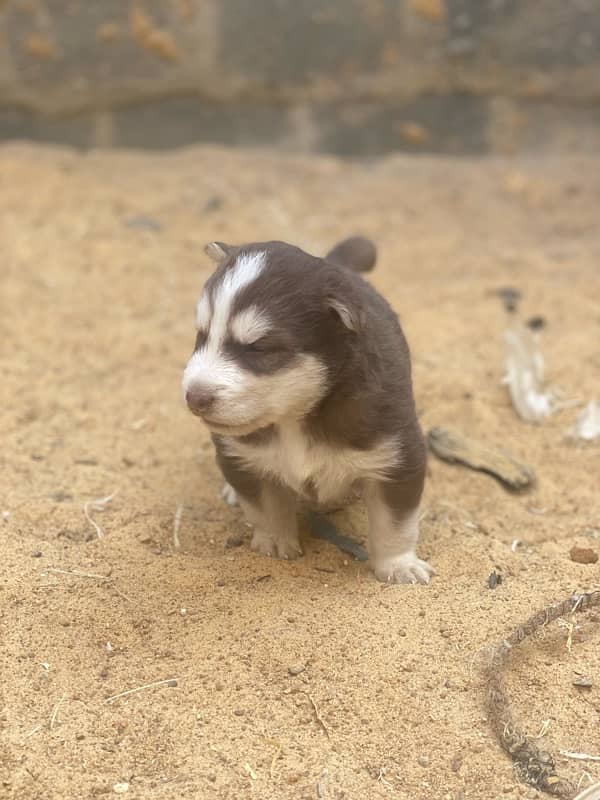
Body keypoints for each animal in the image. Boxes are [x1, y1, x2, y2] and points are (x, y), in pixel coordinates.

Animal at [180, 234, 434, 584]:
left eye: (258, 348)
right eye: (201, 335)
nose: (194, 397)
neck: (294, 417)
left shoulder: (398, 457)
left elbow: (395, 525)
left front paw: (399, 565)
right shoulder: (244, 458)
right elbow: (266, 507)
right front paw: (275, 542)